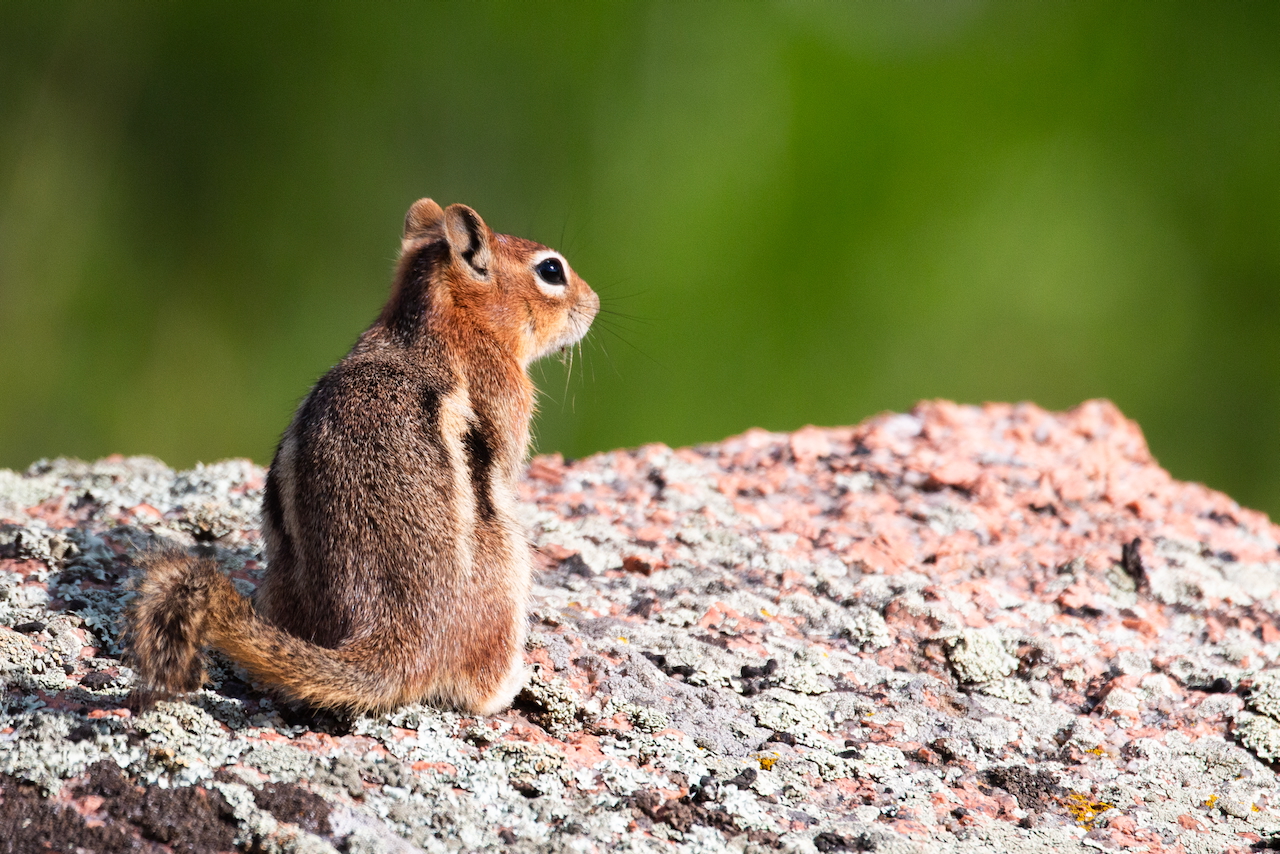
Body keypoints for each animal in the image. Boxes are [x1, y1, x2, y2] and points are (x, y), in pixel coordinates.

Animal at [125, 198, 598, 715]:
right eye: (551, 270)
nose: (594, 303)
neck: (436, 323)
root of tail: (394, 632)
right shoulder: (506, 398)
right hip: (510, 564)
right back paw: (514, 680)